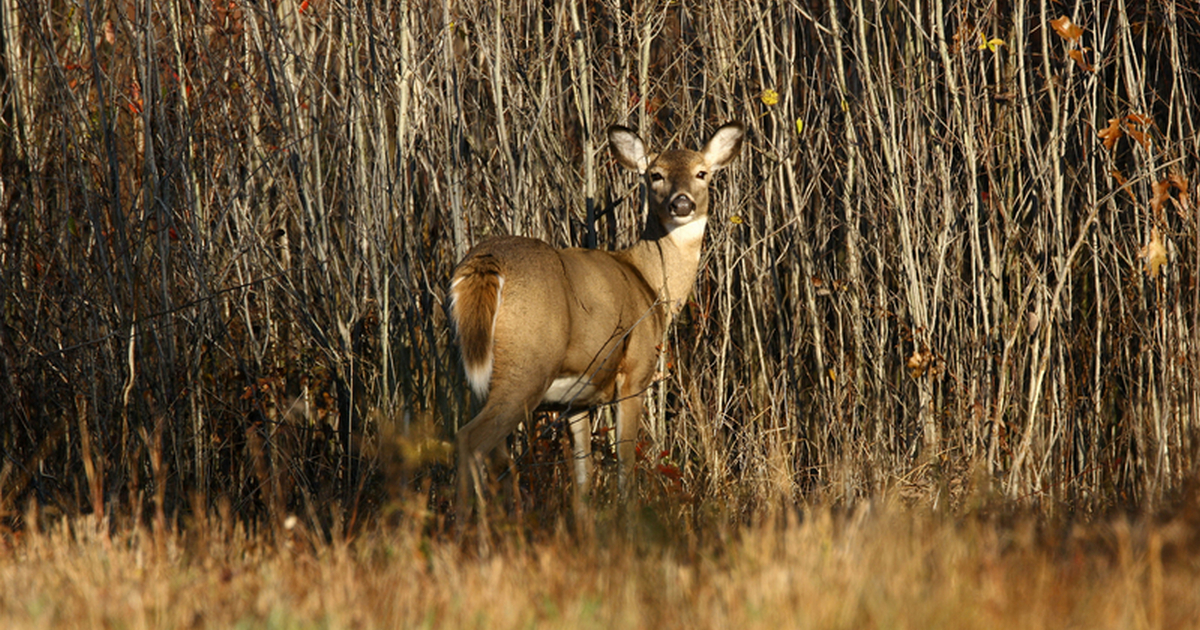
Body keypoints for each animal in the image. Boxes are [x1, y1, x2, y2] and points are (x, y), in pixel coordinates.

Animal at [448, 122, 745, 530]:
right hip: (527, 366)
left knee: (490, 452)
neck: (650, 284)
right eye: (655, 175)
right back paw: (464, 529)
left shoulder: (576, 398)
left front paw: (586, 526)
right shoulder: (635, 373)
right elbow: (625, 459)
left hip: (477, 374)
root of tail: (484, 262)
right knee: (469, 441)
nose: (681, 203)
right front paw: (629, 520)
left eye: (702, 173)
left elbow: (583, 475)